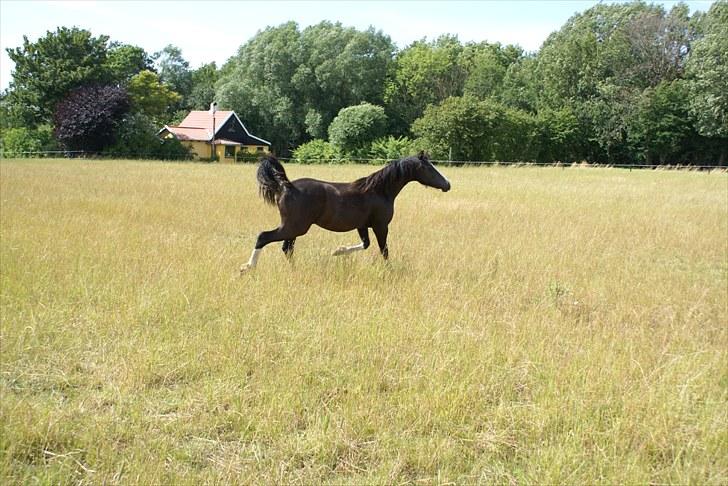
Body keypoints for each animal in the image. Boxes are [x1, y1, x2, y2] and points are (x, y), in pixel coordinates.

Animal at [240, 152, 451, 273]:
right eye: (429, 168)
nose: (448, 184)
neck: (380, 190)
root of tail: (286, 185)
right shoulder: (381, 226)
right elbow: (384, 250)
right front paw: (389, 271)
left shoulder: (362, 226)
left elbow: (365, 244)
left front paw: (337, 251)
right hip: (294, 227)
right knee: (264, 237)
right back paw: (248, 267)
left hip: (294, 228)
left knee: (287, 248)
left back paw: (294, 270)